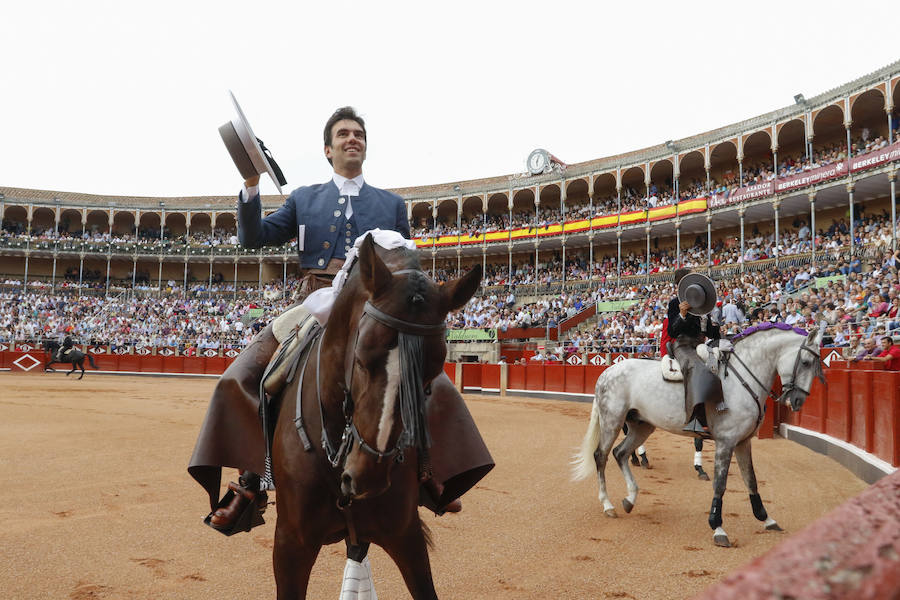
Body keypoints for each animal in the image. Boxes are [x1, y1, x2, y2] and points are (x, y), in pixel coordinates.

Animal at [572, 324, 828, 548]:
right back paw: (608, 505)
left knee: (620, 453)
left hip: (641, 426)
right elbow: (720, 484)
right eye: (806, 362)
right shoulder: (726, 441)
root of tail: (608, 371)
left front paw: (766, 518)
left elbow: (751, 479)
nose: (797, 401)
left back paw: (630, 499)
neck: (742, 378)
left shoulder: (743, 442)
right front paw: (718, 528)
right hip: (612, 420)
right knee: (601, 455)